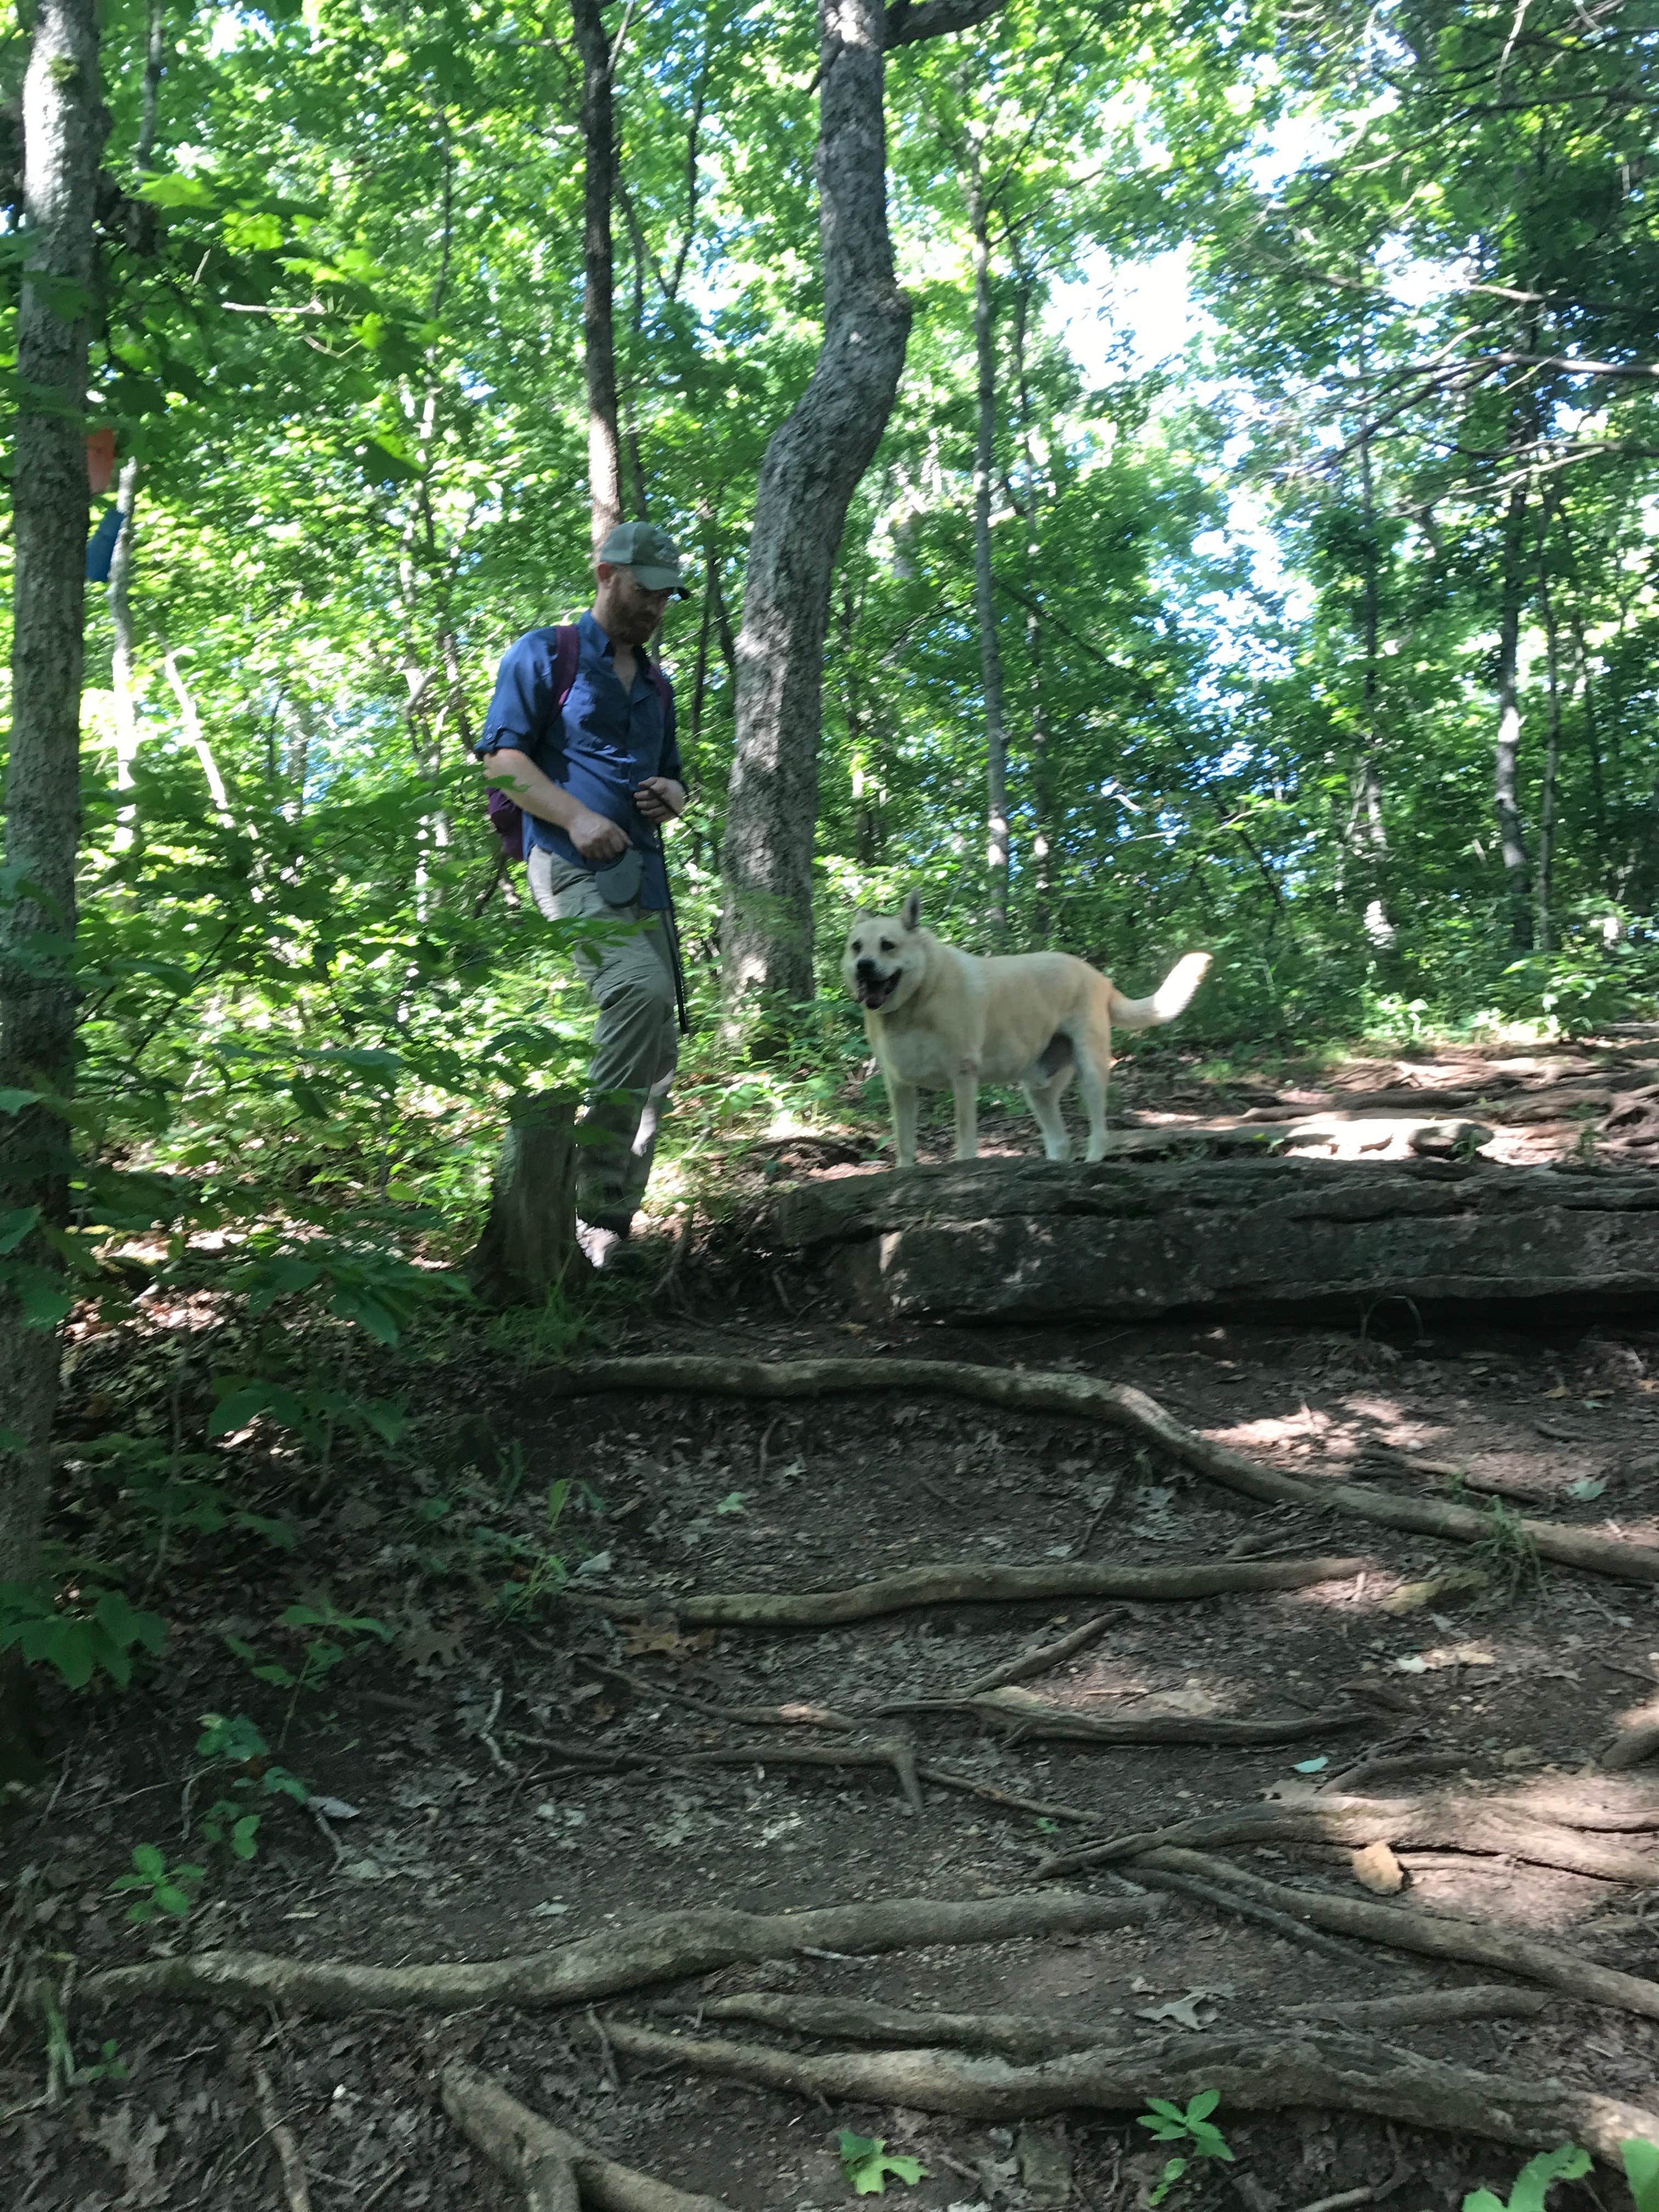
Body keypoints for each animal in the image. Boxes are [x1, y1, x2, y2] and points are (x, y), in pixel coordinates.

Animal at [845, 893, 1212, 1177]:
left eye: (888, 946)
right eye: (856, 947)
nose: (864, 967)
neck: (916, 1001)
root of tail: (1099, 977)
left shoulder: (963, 1076)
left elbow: (964, 1138)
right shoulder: (899, 1085)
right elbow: (904, 1142)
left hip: (1091, 1073)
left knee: (1100, 1132)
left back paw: (1092, 1162)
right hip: (1038, 1090)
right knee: (1059, 1140)